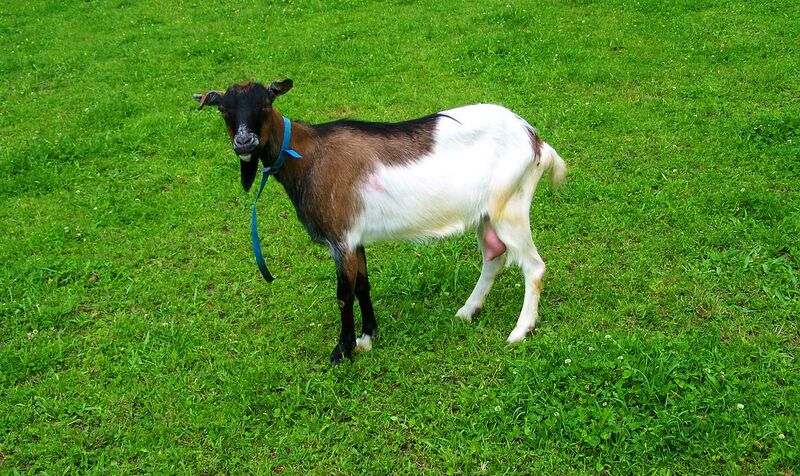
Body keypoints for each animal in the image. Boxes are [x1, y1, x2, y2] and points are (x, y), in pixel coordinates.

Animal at [193, 80, 566, 363]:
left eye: (265, 104)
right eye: (224, 109)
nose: (244, 142)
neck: (310, 156)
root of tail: (536, 142)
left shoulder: (341, 238)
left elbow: (343, 294)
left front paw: (342, 351)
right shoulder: (355, 238)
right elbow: (362, 285)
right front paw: (368, 336)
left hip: (510, 207)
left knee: (533, 266)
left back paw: (520, 330)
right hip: (487, 214)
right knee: (494, 256)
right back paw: (468, 310)